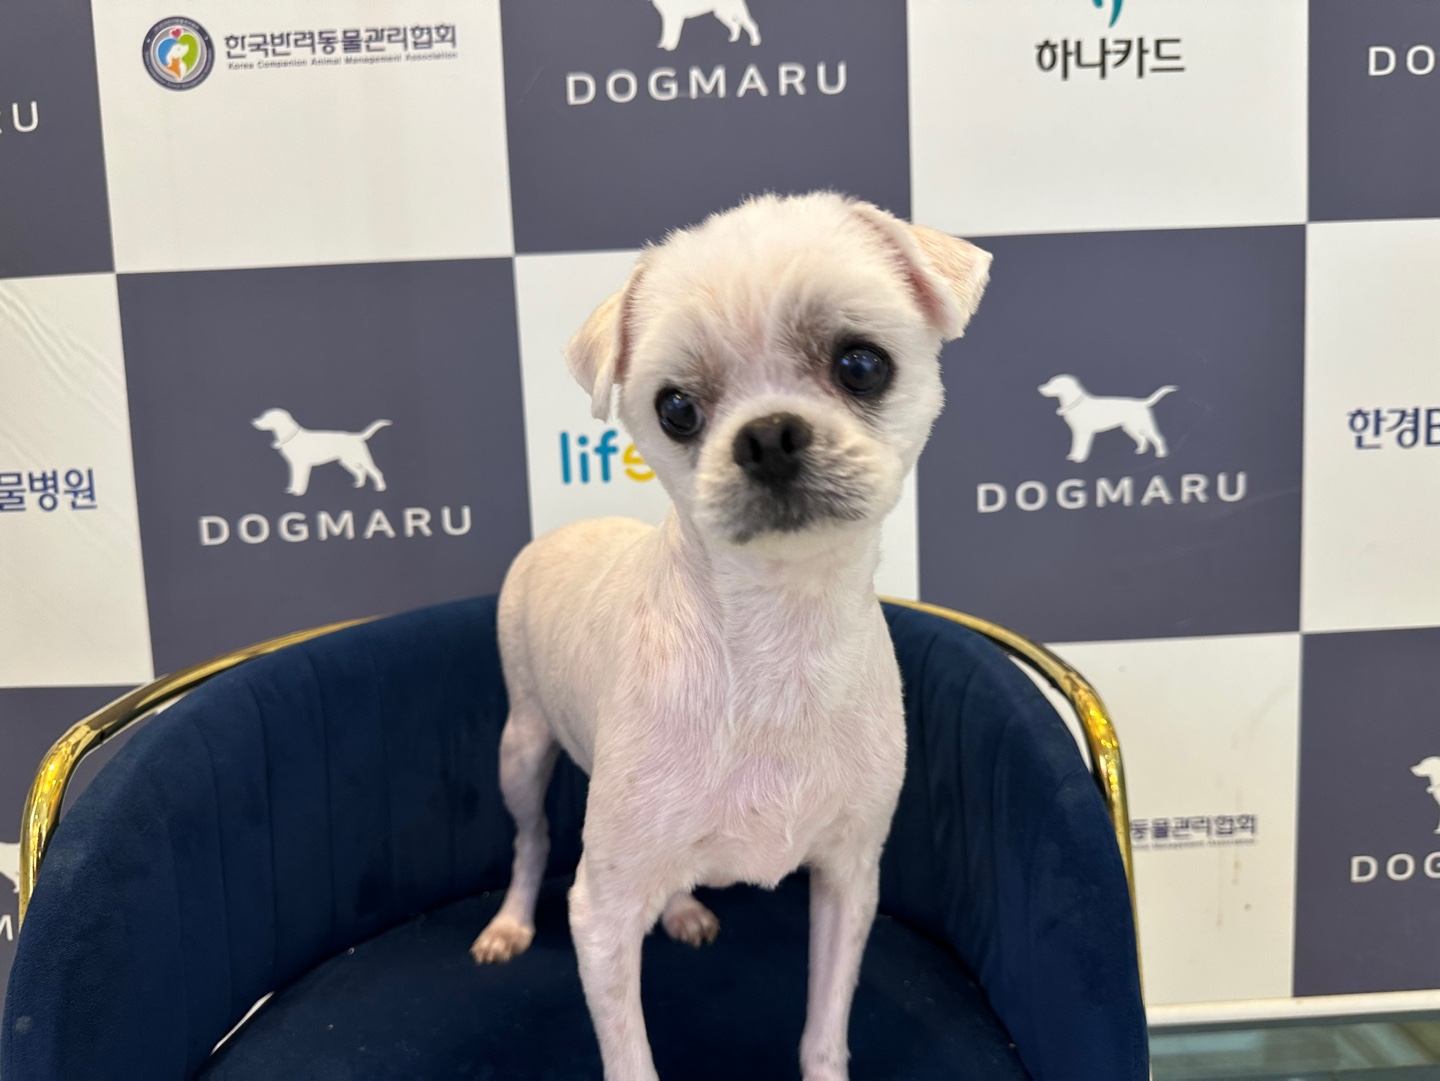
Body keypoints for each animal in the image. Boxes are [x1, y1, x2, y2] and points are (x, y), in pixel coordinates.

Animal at [250, 408, 390, 497]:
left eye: (267, 416)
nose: (254, 421)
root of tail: (357, 436)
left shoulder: (302, 465)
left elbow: (300, 479)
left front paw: (298, 492)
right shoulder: (293, 465)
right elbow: (293, 478)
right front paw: (292, 490)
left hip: (362, 459)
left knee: (375, 472)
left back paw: (380, 488)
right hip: (347, 461)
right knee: (361, 472)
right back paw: (359, 485)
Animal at [469, 192, 991, 1081]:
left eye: (862, 364)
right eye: (677, 408)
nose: (769, 434)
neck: (780, 635)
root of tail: (565, 532)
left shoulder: (848, 877)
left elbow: (824, 1028)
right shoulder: (601, 914)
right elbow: (631, 1059)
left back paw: (681, 906)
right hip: (521, 748)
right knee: (530, 838)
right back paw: (511, 921)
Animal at [1037, 374, 1176, 464]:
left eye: (1054, 383)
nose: (1040, 388)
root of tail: (1142, 403)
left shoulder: (1085, 432)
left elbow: (1082, 446)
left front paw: (1080, 458)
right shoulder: (1076, 432)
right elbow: (1075, 445)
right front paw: (1073, 456)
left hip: (1144, 426)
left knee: (1158, 438)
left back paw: (1161, 454)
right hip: (1130, 428)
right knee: (1142, 439)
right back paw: (1141, 451)